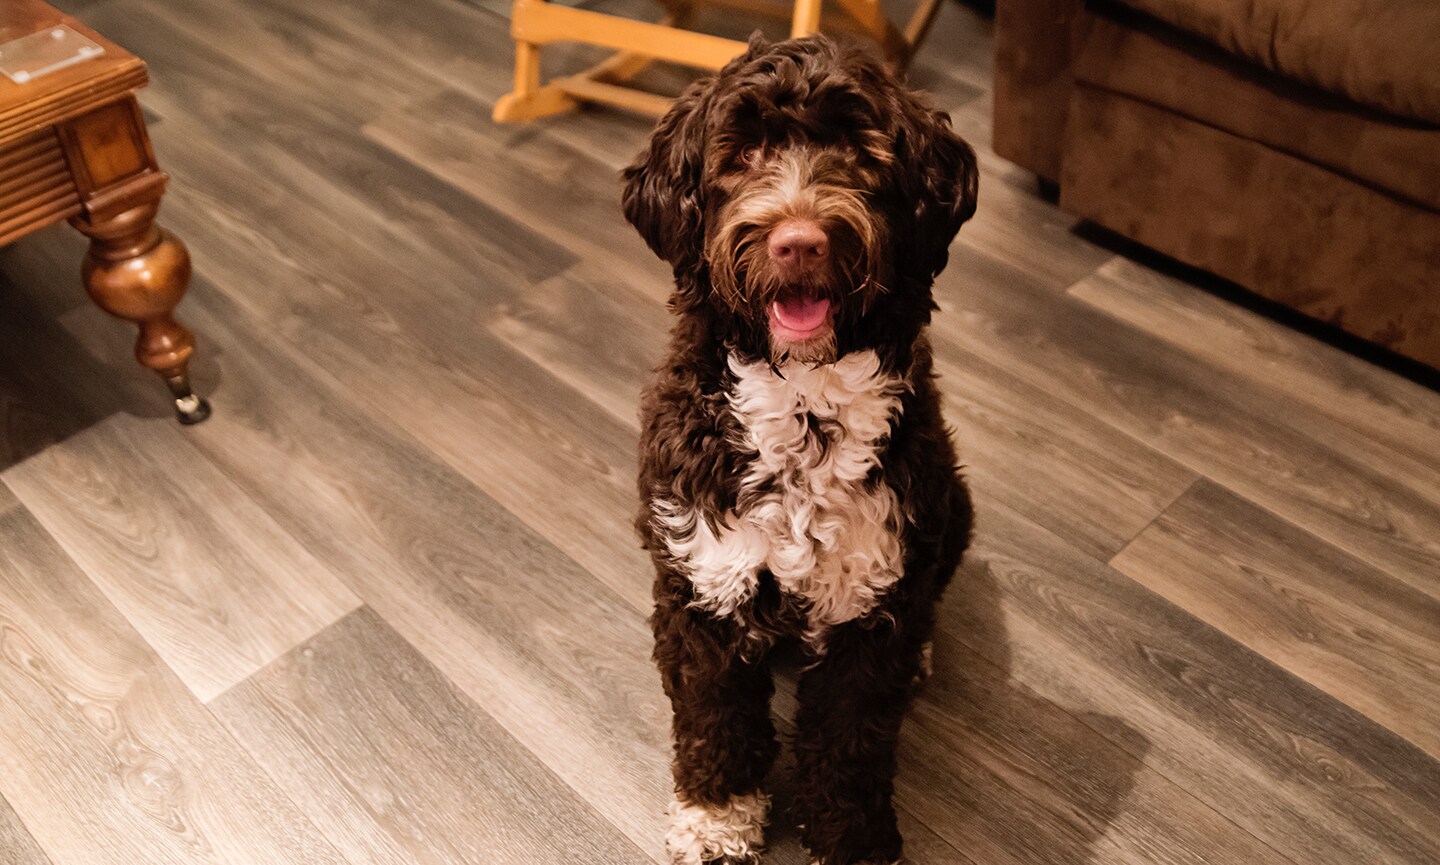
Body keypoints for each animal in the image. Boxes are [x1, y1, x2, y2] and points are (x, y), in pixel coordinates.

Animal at [622, 32, 979, 863]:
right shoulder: (706, 581)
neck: (803, 408)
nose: (799, 242)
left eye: (857, 150)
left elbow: (849, 744)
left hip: (953, 505)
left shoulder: (869, 600)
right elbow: (717, 720)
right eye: (744, 151)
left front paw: (852, 840)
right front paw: (716, 819)